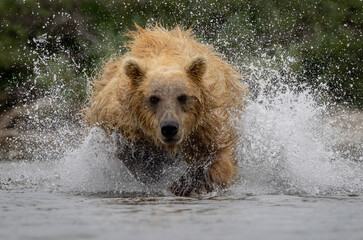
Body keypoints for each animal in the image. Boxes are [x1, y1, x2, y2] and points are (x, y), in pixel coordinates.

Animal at [85, 24, 249, 197]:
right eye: (153, 98)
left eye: (183, 97)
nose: (169, 128)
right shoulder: (120, 121)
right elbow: (130, 152)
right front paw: (151, 165)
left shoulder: (207, 122)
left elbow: (216, 155)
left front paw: (186, 184)